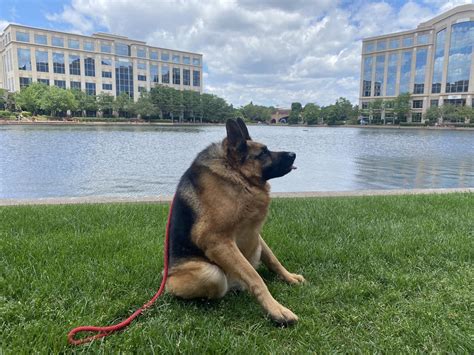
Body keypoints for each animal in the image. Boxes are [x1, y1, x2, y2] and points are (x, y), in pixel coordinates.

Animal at [165, 117, 306, 326]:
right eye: (263, 153)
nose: (293, 154)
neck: (237, 174)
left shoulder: (255, 234)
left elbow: (273, 259)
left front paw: (289, 277)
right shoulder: (217, 241)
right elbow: (255, 277)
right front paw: (276, 309)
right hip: (209, 274)